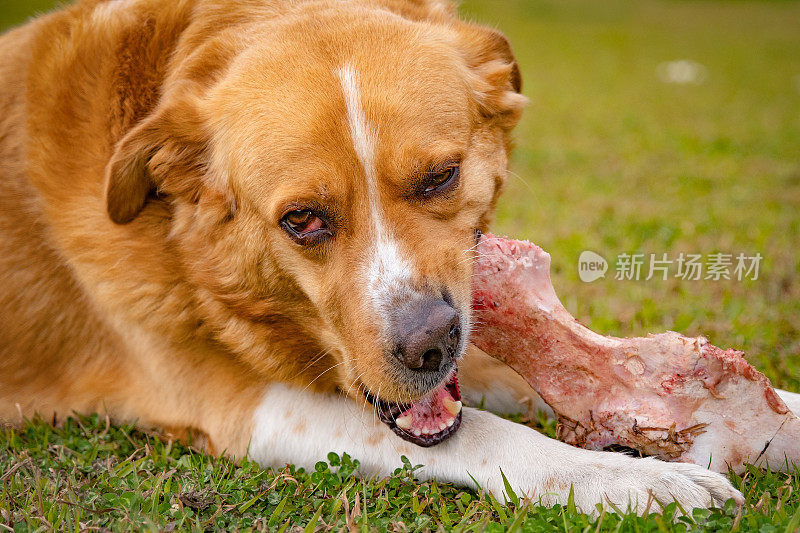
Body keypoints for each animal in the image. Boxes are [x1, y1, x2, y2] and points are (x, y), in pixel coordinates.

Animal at [0, 0, 740, 510]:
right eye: (302, 220)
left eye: (440, 177)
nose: (429, 347)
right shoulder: (244, 406)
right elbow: (485, 431)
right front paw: (624, 477)